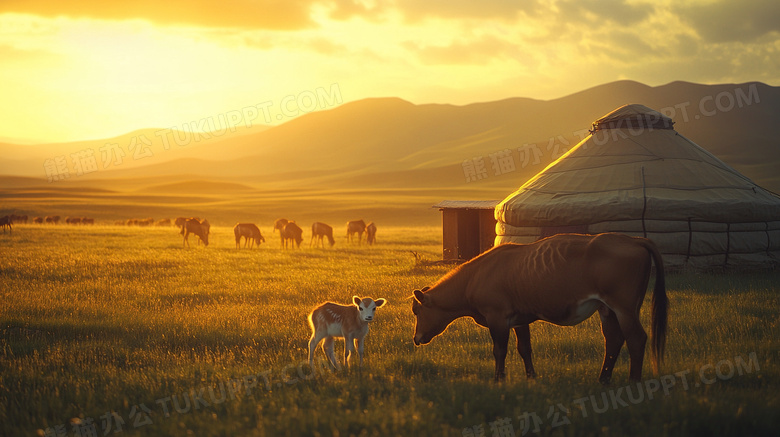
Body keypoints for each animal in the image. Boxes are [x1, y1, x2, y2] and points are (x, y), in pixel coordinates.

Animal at [412, 232, 668, 382]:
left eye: (417, 311)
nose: (416, 338)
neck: (476, 276)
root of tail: (632, 240)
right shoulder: (518, 320)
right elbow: (525, 348)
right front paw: (531, 377)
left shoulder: (497, 318)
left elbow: (499, 350)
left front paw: (498, 379)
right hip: (607, 310)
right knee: (614, 339)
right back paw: (603, 380)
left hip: (624, 308)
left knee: (636, 338)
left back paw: (633, 381)